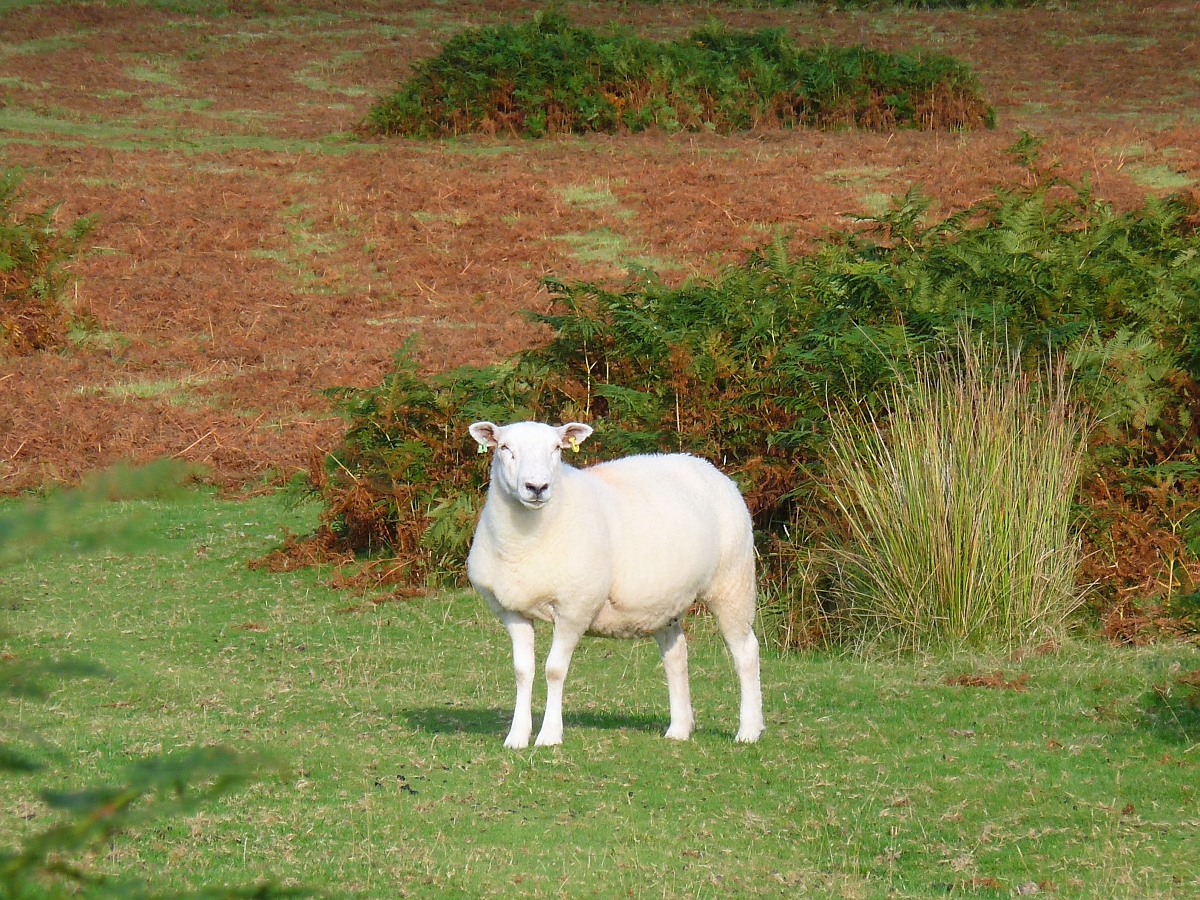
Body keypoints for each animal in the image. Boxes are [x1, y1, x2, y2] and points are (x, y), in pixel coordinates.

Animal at [463, 422, 763, 748]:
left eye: (556, 448)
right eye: (505, 448)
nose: (537, 487)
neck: (525, 542)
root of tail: (707, 466)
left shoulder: (575, 608)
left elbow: (554, 671)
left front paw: (550, 735)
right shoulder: (512, 610)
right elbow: (522, 671)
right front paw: (517, 736)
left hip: (732, 581)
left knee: (745, 652)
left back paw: (749, 730)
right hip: (664, 601)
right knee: (676, 655)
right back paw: (679, 728)